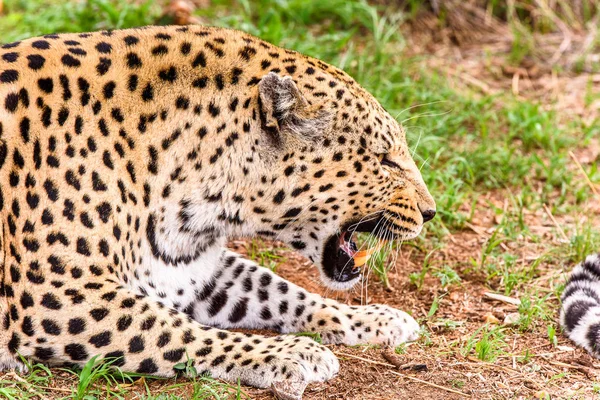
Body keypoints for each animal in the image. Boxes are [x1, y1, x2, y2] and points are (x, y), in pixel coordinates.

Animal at [0, 25, 436, 396]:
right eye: (385, 161)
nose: (431, 212)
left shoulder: (190, 266)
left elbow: (278, 289)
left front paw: (377, 318)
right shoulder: (54, 295)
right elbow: (176, 331)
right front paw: (293, 352)